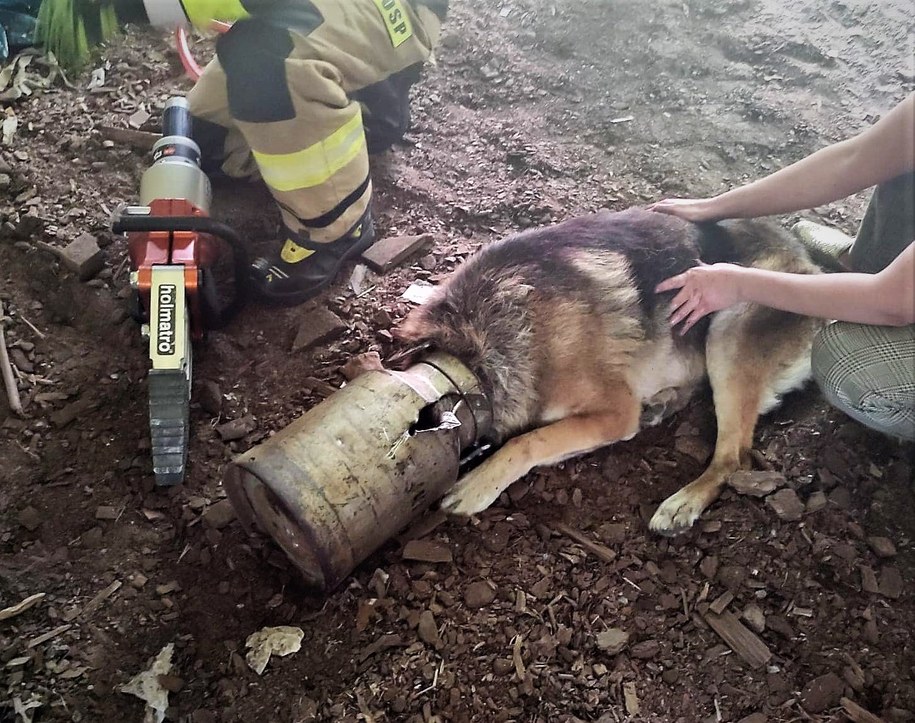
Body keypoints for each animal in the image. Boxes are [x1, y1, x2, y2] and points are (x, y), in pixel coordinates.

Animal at [394, 206, 824, 536]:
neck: (484, 342)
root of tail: (812, 264)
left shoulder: (615, 412)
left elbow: (527, 442)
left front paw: (478, 484)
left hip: (728, 325)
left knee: (734, 457)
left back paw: (682, 502)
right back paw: (662, 404)